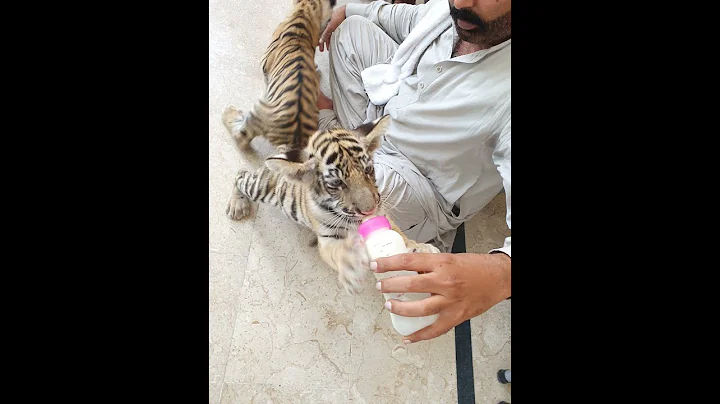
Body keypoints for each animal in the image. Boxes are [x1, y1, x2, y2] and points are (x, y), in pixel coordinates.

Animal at [222, 0, 336, 160]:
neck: (305, 11)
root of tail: (295, 140)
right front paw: (316, 68)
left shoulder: (265, 66)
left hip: (258, 110)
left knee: (242, 137)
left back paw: (229, 113)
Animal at [226, 115, 441, 294]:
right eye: (337, 184)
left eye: (368, 170)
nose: (369, 210)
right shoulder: (329, 238)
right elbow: (339, 252)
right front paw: (351, 265)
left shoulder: (383, 214)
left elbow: (399, 234)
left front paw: (421, 250)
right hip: (262, 186)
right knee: (241, 175)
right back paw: (237, 205)